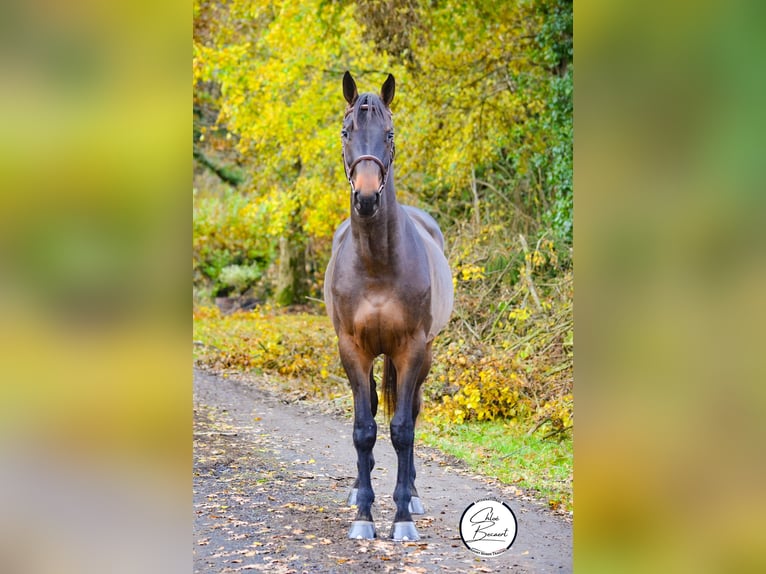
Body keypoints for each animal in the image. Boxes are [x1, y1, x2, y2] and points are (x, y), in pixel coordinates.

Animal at [326, 70, 456, 544]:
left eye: (390, 133)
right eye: (346, 132)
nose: (366, 198)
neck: (377, 264)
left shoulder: (412, 349)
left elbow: (402, 430)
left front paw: (401, 517)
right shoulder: (352, 349)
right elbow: (364, 429)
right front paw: (364, 514)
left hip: (425, 357)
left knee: (411, 413)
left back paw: (412, 496)